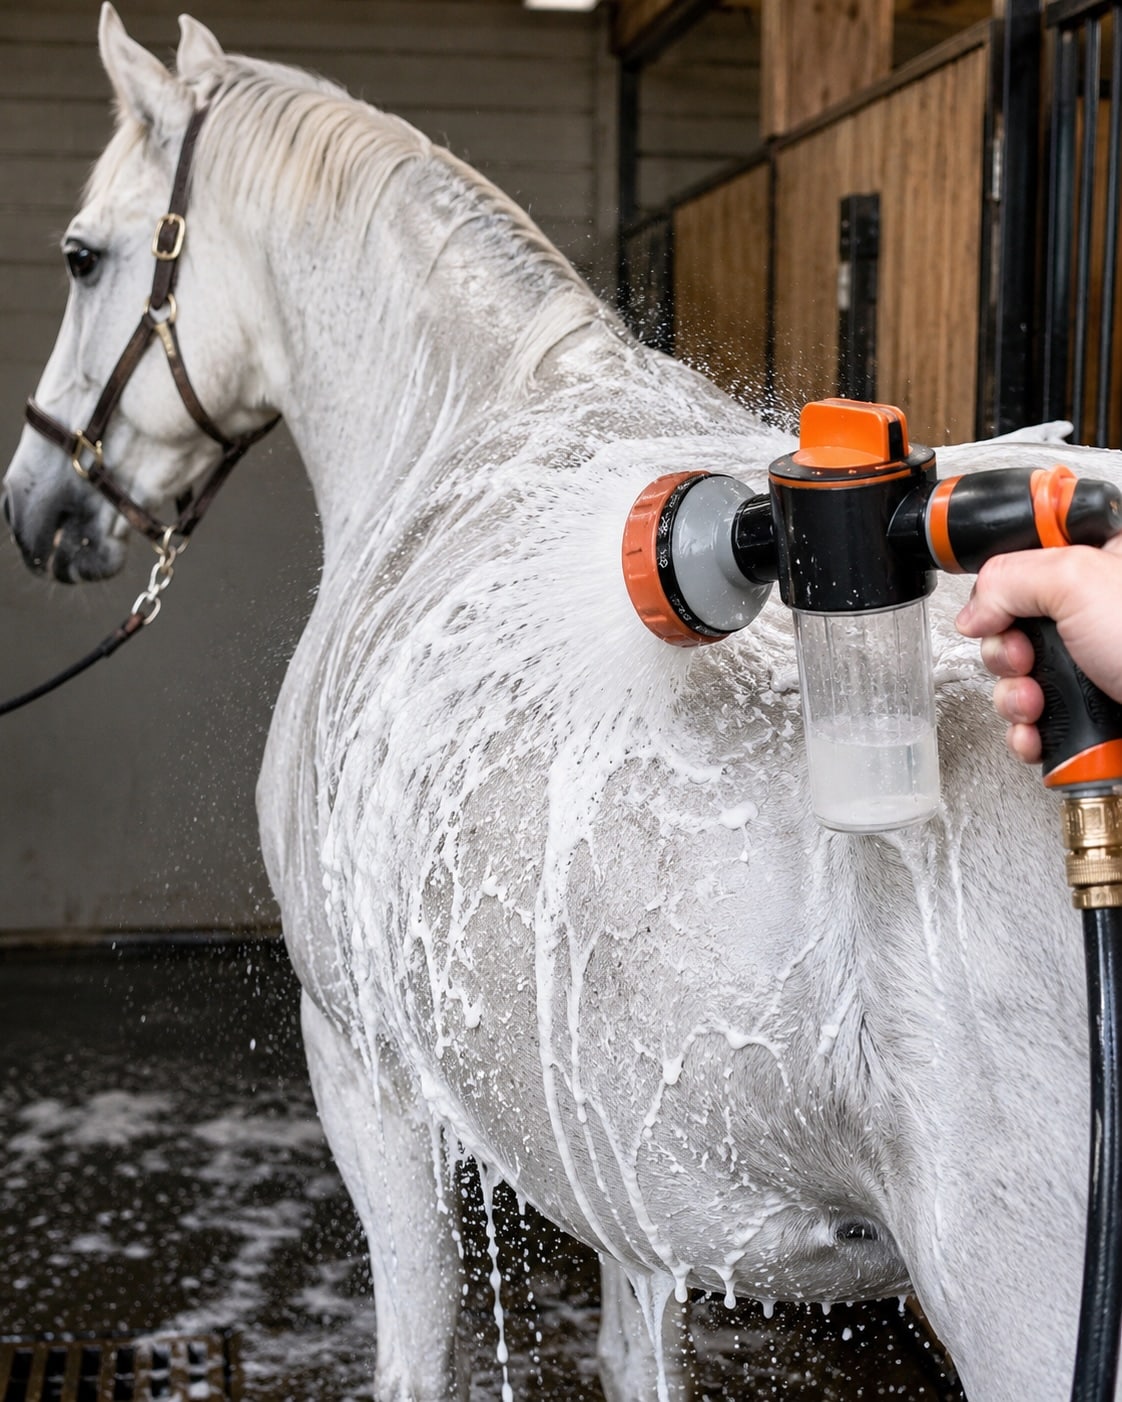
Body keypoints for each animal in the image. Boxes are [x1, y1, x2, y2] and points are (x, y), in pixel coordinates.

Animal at [4, 8, 1122, 1399]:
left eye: (81, 255)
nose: (36, 504)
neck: (456, 428)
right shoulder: (619, 1156)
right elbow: (633, 1356)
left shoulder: (363, 1070)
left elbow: (414, 1358)